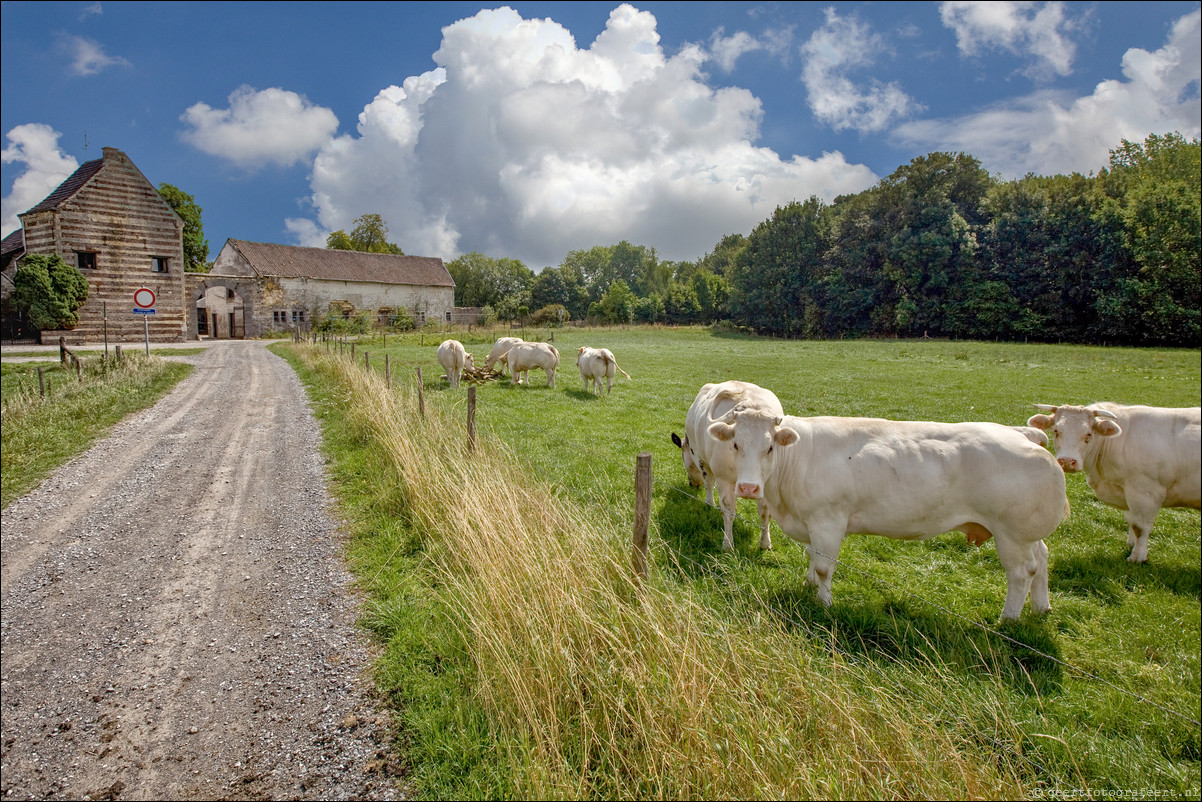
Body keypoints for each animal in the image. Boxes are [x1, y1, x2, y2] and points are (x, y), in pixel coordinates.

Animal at [673, 382, 783, 553]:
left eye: (770, 448)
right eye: (735, 444)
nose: (692, 484)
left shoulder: (701, 459)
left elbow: (764, 513)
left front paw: (765, 543)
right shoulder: (724, 478)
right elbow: (729, 511)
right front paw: (729, 543)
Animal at [706, 411, 1067, 625]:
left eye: (769, 448)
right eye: (735, 444)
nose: (749, 487)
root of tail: (1023, 434)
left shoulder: (828, 520)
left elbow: (824, 565)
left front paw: (823, 602)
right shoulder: (811, 521)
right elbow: (812, 554)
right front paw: (808, 584)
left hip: (1011, 534)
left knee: (1021, 573)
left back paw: (1008, 619)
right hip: (1027, 534)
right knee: (1042, 559)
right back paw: (1041, 607)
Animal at [1024, 401, 1202, 565]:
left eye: (1089, 434)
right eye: (1056, 431)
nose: (1067, 461)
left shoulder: (1145, 491)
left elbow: (1140, 527)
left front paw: (1138, 556)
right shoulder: (1126, 490)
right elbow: (1131, 520)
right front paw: (1131, 544)